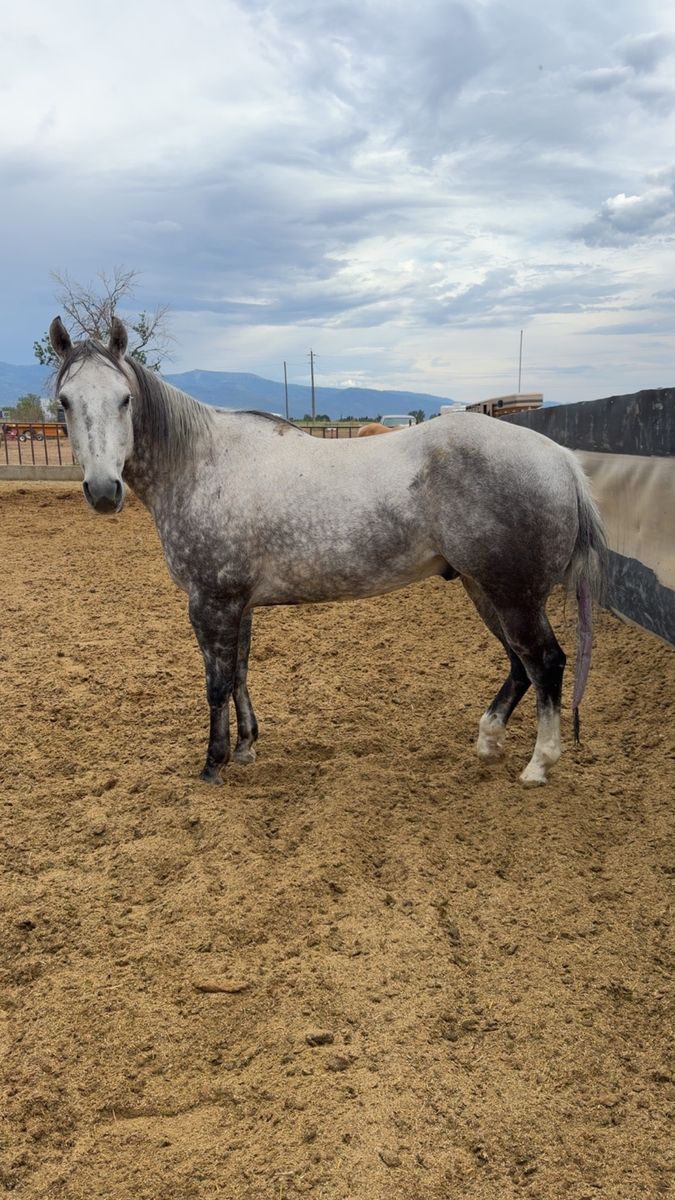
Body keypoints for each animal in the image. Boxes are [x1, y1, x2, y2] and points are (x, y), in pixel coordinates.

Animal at [50, 316, 606, 787]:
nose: (103, 491)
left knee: (546, 662)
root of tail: (559, 458)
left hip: (514, 594)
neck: (202, 464)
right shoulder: (238, 604)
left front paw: (214, 763)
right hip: (483, 587)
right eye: (64, 402)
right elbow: (241, 673)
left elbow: (217, 682)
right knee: (520, 663)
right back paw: (489, 741)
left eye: (125, 399)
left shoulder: (210, 602)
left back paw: (538, 764)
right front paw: (247, 747)